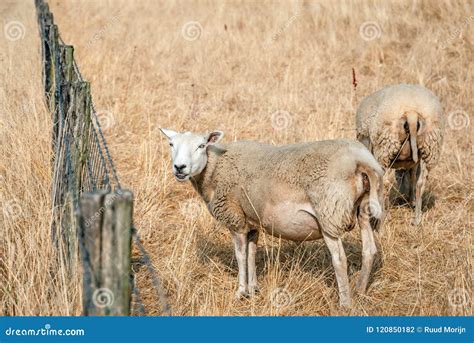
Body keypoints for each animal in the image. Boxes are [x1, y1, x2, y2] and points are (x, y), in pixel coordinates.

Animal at [161, 130, 384, 310]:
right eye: (171, 144)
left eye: (201, 146)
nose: (179, 167)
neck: (215, 168)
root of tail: (361, 160)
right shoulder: (252, 222)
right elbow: (252, 253)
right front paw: (253, 288)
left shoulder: (235, 218)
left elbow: (241, 255)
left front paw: (241, 292)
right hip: (363, 209)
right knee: (369, 250)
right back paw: (360, 291)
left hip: (329, 213)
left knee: (339, 260)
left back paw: (345, 303)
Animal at [356, 83, 444, 226]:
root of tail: (412, 113)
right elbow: (413, 176)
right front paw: (411, 200)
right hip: (429, 146)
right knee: (420, 183)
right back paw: (417, 219)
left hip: (385, 147)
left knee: (384, 182)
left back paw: (385, 216)